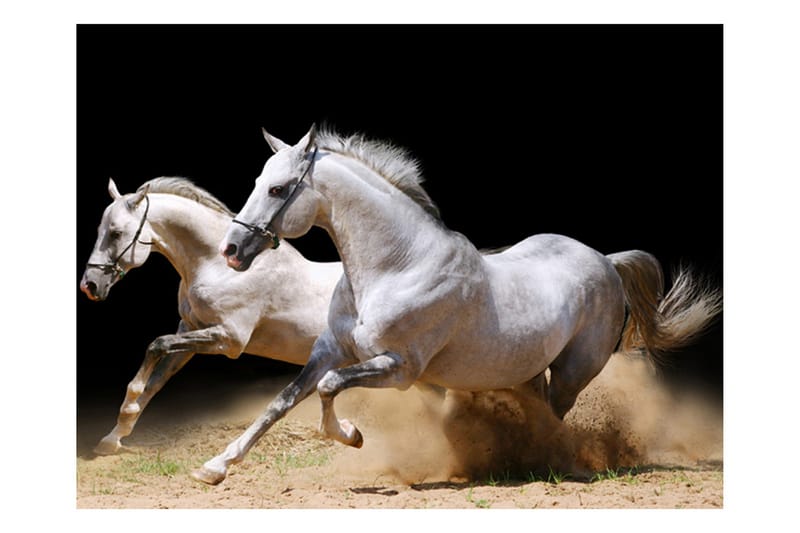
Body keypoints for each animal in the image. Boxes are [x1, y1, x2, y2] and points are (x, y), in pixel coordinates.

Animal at [79, 177, 343, 457]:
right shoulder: (189, 330)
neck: (219, 267)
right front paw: (113, 438)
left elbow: (156, 345)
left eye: (116, 233)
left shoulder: (229, 340)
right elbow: (155, 381)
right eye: (100, 230)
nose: (89, 286)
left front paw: (127, 410)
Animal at [198, 125, 721, 486]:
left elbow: (328, 389)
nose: (232, 251)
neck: (397, 265)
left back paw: (548, 463)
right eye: (259, 180)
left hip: (574, 371)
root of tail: (606, 261)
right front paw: (215, 466)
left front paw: (352, 434)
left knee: (556, 416)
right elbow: (282, 401)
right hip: (527, 370)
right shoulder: (330, 350)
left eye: (279, 189)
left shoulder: (399, 368)